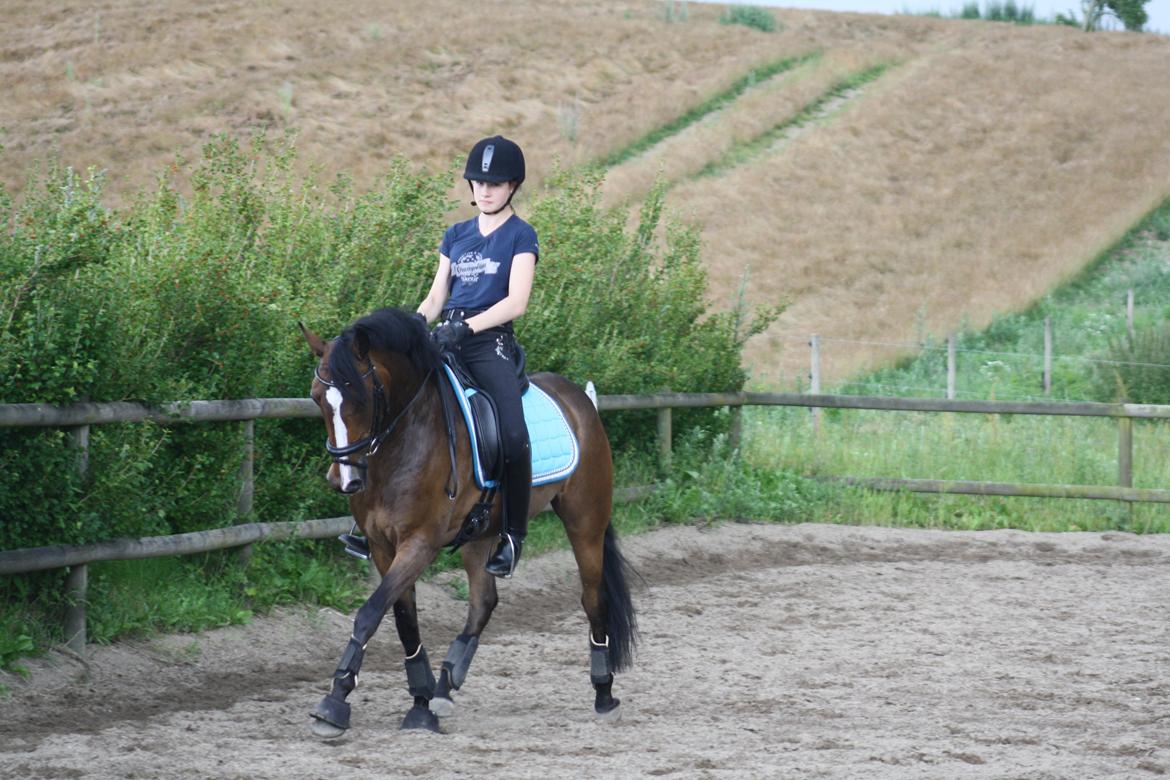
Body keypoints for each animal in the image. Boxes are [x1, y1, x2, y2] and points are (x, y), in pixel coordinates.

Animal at [300, 307, 638, 737]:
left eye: (361, 397)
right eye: (316, 398)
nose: (344, 480)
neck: (405, 439)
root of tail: (582, 401)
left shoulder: (420, 542)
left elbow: (370, 613)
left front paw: (335, 700)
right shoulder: (382, 545)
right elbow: (403, 618)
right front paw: (421, 702)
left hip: (585, 522)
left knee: (594, 599)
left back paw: (604, 693)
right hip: (482, 533)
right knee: (483, 602)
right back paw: (445, 686)